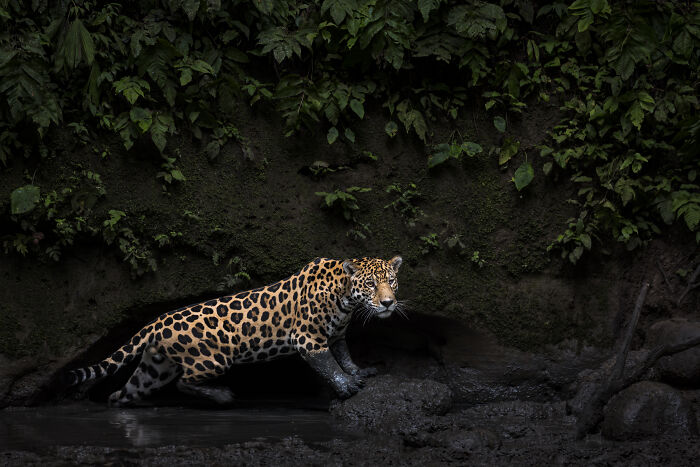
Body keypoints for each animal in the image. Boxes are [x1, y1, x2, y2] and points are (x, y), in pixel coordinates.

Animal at [65, 255, 404, 406]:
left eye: (391, 281)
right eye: (371, 284)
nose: (388, 302)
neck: (346, 296)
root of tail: (155, 322)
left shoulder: (336, 335)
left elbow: (343, 355)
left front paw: (358, 371)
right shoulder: (308, 339)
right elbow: (328, 365)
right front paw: (346, 386)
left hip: (154, 369)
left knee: (124, 392)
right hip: (213, 360)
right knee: (184, 383)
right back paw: (222, 395)